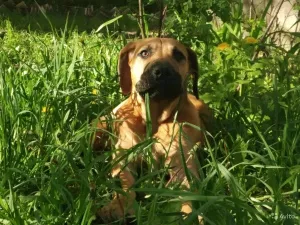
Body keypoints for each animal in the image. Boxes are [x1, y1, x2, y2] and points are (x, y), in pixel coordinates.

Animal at [92, 37, 212, 223]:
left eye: (179, 55)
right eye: (144, 53)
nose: (162, 71)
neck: (154, 120)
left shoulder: (184, 165)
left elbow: (188, 194)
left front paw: (191, 216)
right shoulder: (123, 158)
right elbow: (126, 185)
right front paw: (118, 206)